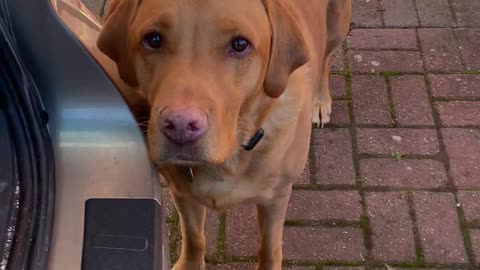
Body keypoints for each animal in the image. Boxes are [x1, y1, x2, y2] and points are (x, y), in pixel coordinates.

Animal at [97, 1, 350, 268]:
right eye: (153, 39)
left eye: (240, 44)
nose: (180, 125)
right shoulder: (182, 193)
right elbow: (194, 237)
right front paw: (189, 263)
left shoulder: (276, 198)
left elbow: (269, 248)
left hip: (337, 24)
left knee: (326, 57)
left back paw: (320, 100)